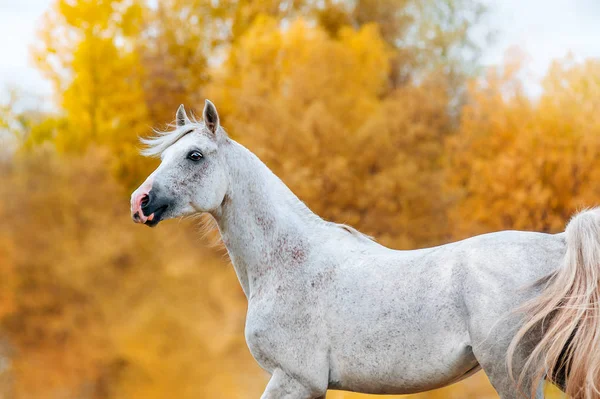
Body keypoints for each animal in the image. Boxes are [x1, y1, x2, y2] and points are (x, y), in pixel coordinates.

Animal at [131, 101, 600, 399]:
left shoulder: (295, 380)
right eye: (165, 156)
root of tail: (560, 242)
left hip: (514, 373)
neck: (288, 262)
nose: (140, 202)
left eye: (194, 155)